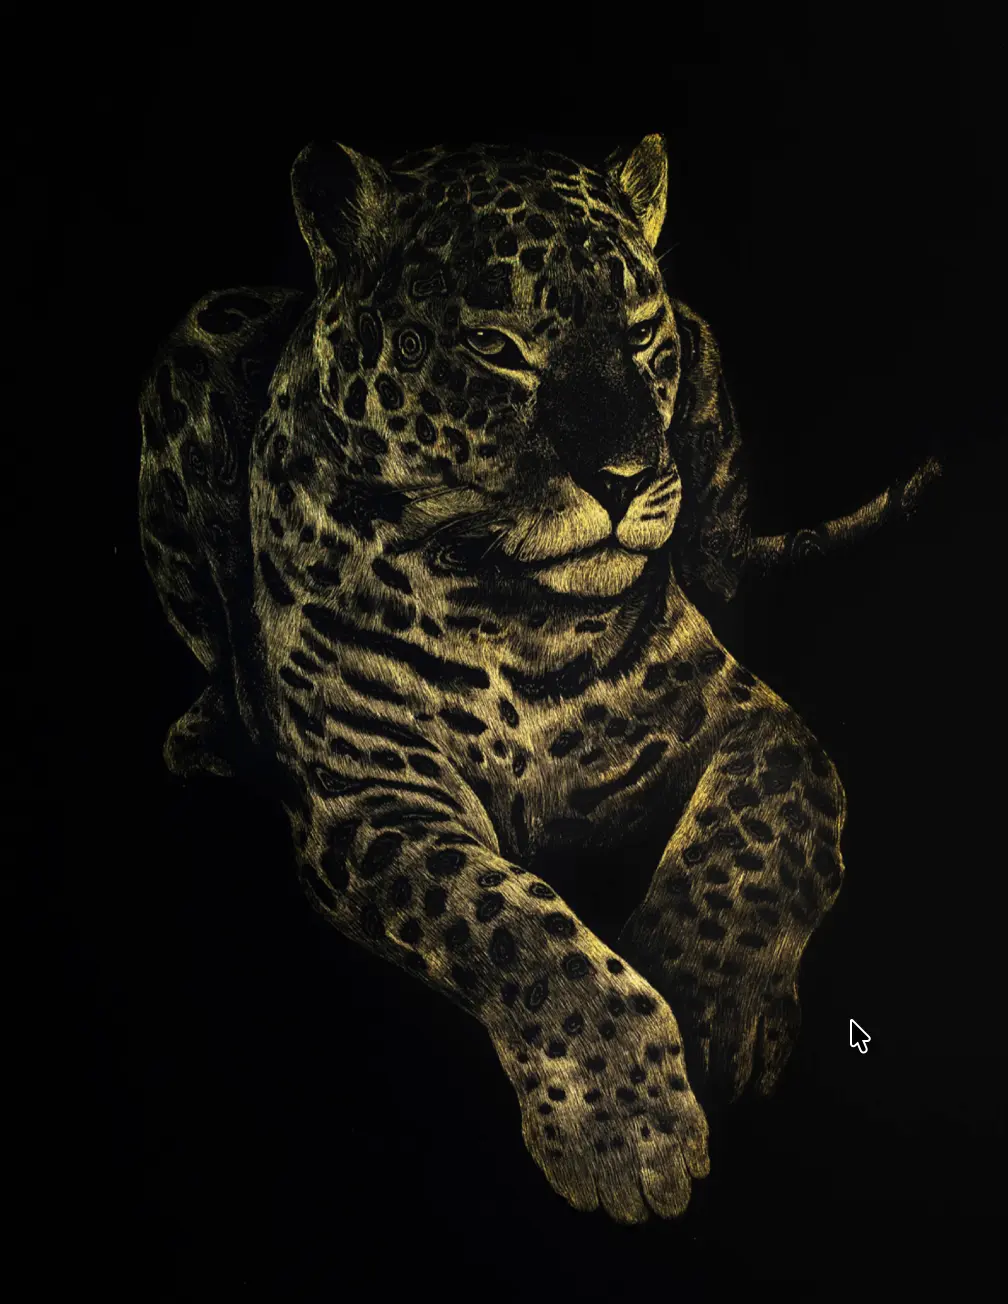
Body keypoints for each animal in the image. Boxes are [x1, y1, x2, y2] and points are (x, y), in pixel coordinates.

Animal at [137, 134, 940, 1224]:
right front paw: (627, 1133)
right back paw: (211, 730)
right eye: (494, 347)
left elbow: (754, 843)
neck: (505, 612)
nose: (626, 480)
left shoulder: (753, 720)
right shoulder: (370, 792)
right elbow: (508, 920)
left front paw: (715, 1019)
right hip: (195, 336)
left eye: (641, 339)